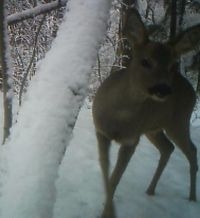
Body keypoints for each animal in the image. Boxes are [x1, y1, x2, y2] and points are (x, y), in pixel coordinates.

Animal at [92, 7, 200, 218]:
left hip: (178, 121)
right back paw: (151, 190)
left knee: (191, 150)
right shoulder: (101, 132)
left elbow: (115, 178)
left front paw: (108, 212)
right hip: (153, 128)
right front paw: (108, 209)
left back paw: (192, 198)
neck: (119, 117)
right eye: (145, 61)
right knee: (168, 148)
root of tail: (190, 88)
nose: (163, 89)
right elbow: (105, 170)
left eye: (173, 65)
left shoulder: (131, 140)